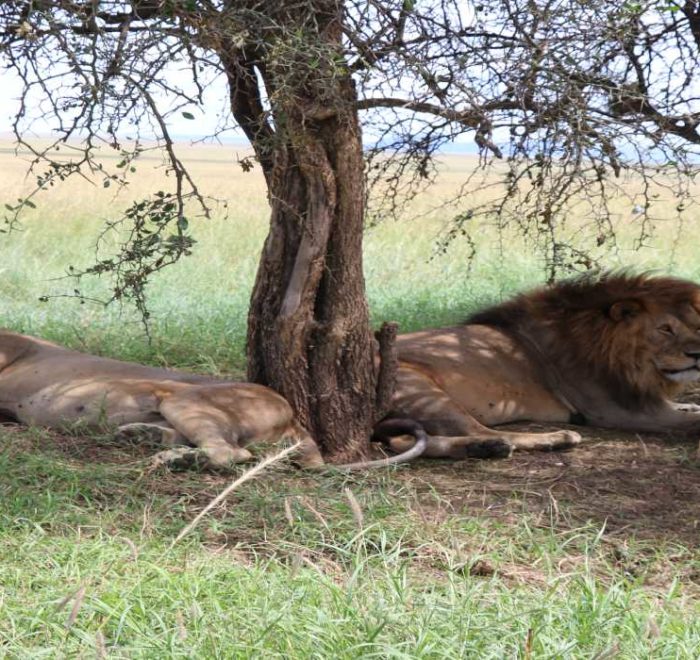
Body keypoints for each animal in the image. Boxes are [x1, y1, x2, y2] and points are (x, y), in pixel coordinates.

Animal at [382, 272, 700, 458]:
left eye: (696, 325)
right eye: (665, 329)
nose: (697, 353)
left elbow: (687, 408)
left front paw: (690, 404)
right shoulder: (618, 412)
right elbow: (691, 421)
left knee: (408, 441)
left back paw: (482, 448)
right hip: (425, 391)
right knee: (485, 431)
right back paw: (552, 439)